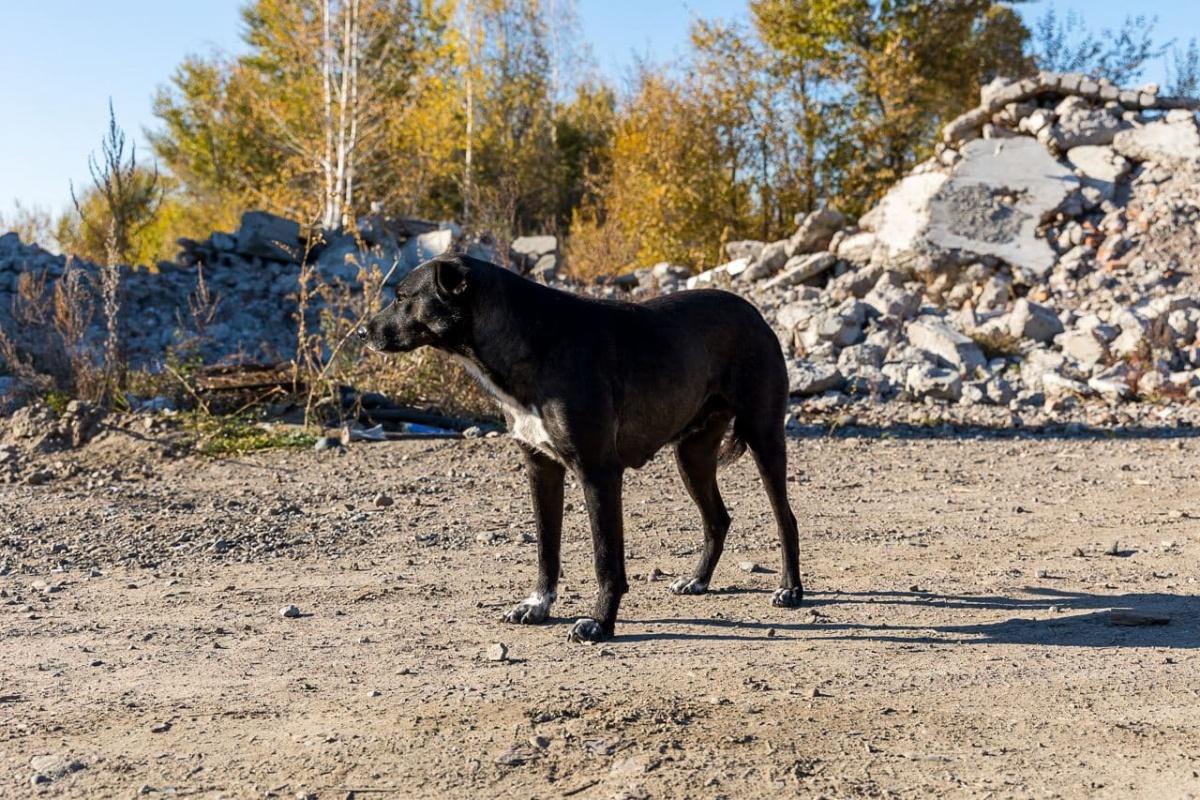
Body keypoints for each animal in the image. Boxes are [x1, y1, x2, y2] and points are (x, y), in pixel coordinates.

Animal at [357, 253, 806, 642]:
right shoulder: (541, 467)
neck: (530, 338)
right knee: (717, 519)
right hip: (691, 455)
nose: (362, 332)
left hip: (764, 437)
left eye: (402, 296)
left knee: (786, 519)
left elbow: (606, 559)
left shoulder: (598, 472)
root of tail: (754, 313)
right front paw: (538, 605)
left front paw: (600, 623)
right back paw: (699, 579)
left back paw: (791, 590)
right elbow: (546, 549)